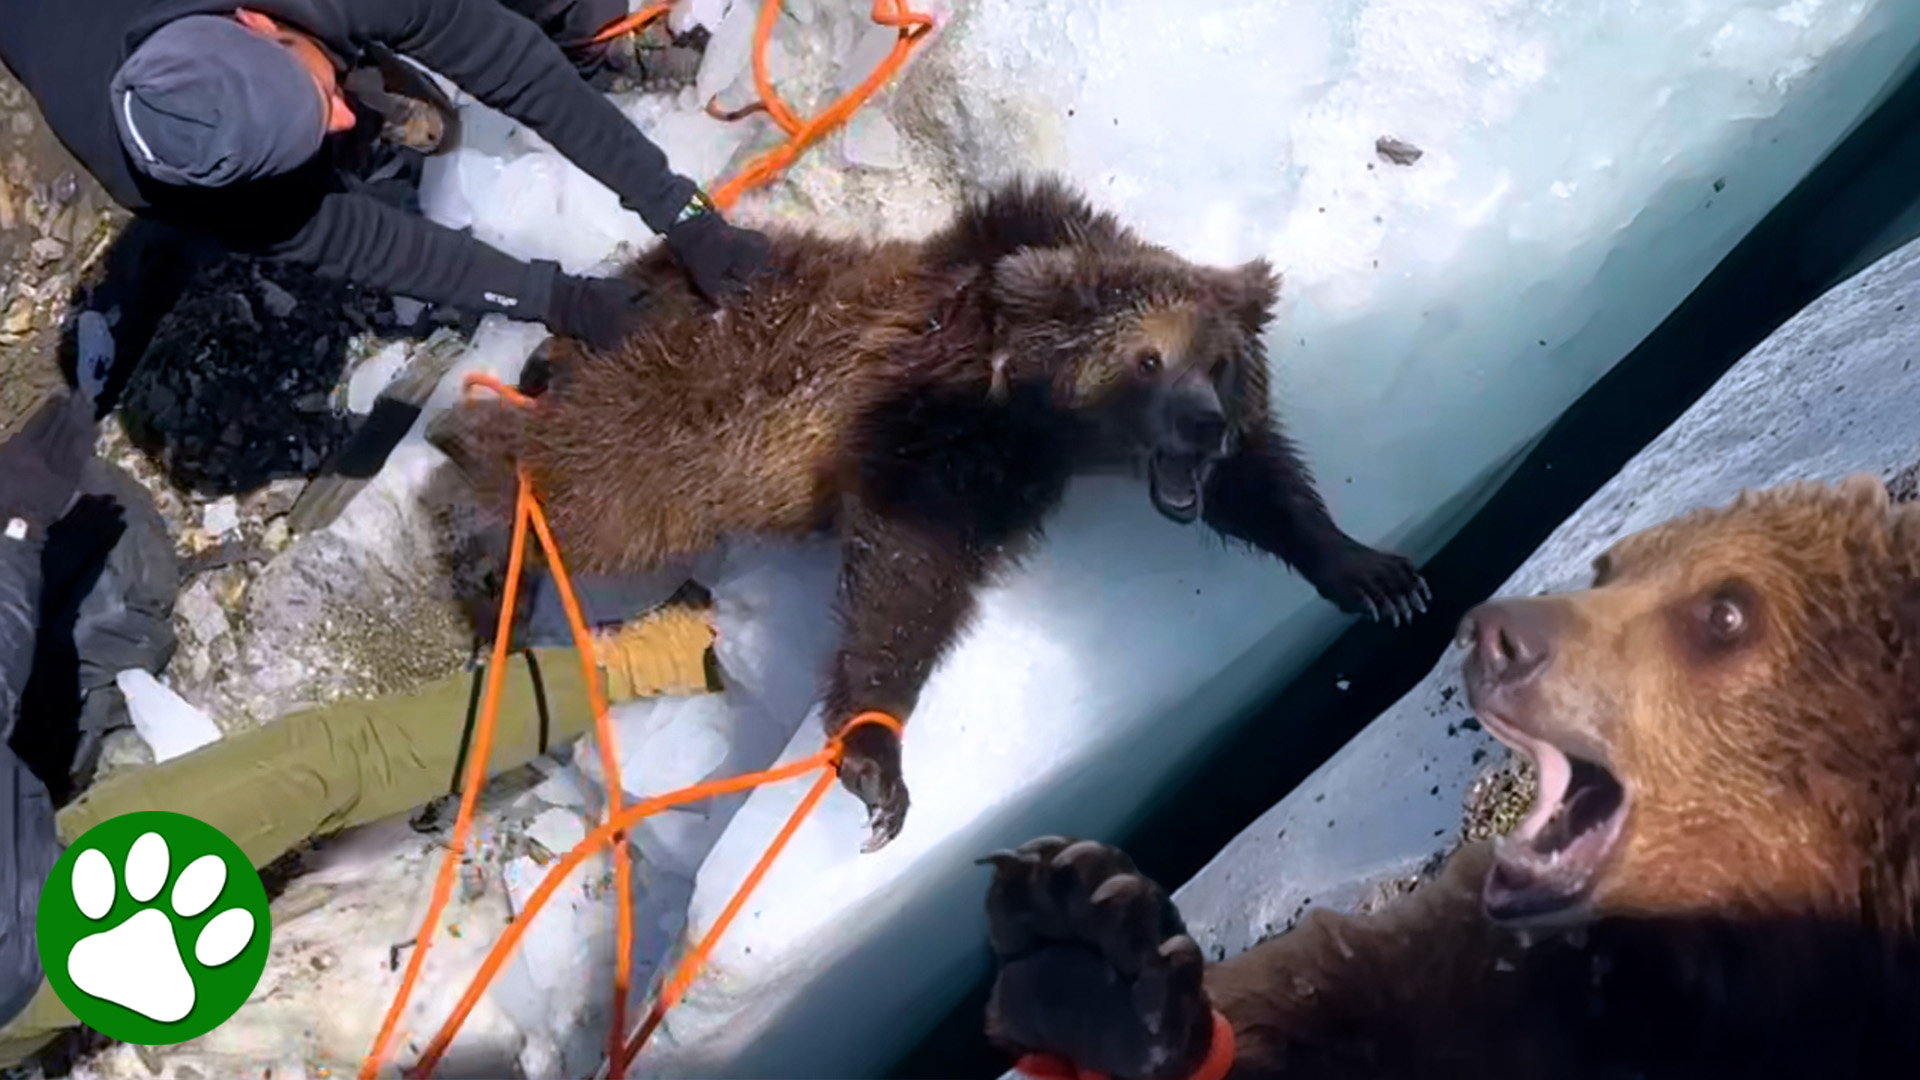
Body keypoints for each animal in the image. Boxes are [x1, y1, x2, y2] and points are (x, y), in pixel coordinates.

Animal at [429, 174, 1430, 853]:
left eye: (1220, 363)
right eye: (1148, 358)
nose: (1203, 425)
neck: (1031, 406)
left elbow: (1268, 490)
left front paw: (1370, 570)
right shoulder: (931, 428)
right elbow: (908, 573)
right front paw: (877, 759)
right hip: (655, 415)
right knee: (576, 482)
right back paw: (474, 511)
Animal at [978, 473, 1920, 1078]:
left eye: (1726, 612)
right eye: (1609, 567)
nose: (1496, 634)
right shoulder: (1533, 982)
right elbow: (1336, 1003)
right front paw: (1091, 967)